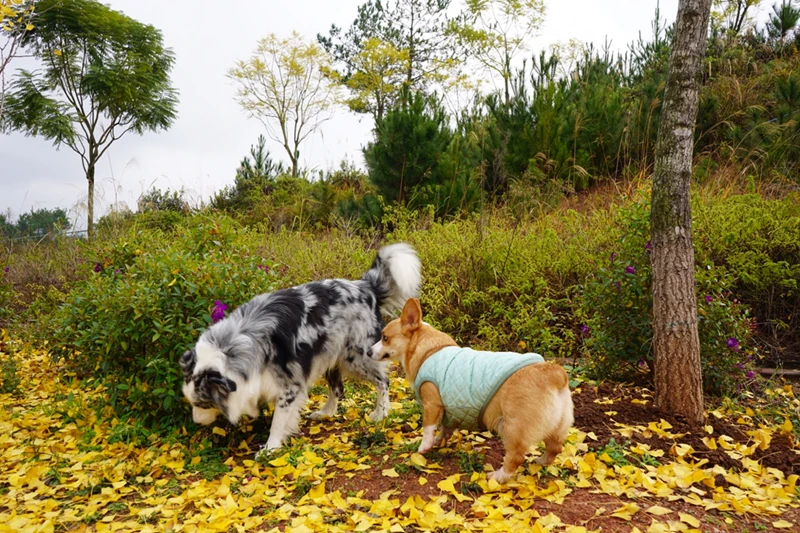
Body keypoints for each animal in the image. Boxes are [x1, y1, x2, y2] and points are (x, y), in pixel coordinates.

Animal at [180, 244, 418, 448]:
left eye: (203, 404)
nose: (196, 423)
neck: (233, 346)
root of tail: (365, 287)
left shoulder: (290, 385)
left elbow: (278, 420)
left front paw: (270, 448)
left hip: (357, 356)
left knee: (383, 382)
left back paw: (381, 413)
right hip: (327, 353)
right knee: (338, 388)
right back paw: (326, 412)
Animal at [372, 298, 572, 484]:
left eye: (385, 337)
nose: (367, 351)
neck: (429, 350)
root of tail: (554, 374)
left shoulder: (432, 404)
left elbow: (428, 427)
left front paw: (424, 447)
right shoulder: (448, 410)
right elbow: (444, 429)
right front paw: (439, 441)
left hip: (513, 428)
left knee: (516, 457)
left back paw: (498, 476)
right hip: (557, 427)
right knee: (555, 448)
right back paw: (540, 462)